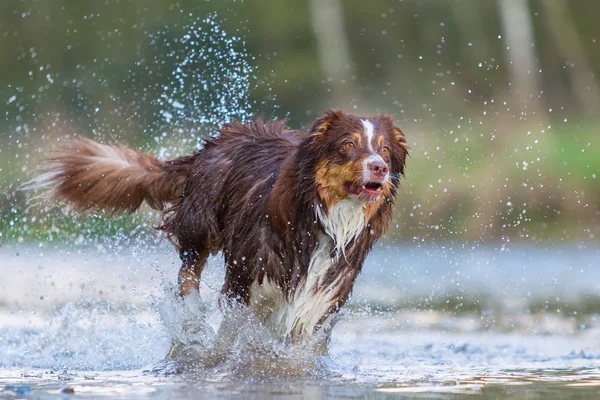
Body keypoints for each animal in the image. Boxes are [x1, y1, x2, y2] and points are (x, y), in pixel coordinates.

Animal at [39, 108, 410, 340]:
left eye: (384, 150)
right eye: (348, 144)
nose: (380, 168)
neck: (324, 219)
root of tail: (216, 141)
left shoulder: (322, 298)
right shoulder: (244, 282)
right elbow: (232, 336)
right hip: (200, 225)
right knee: (188, 271)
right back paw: (192, 318)